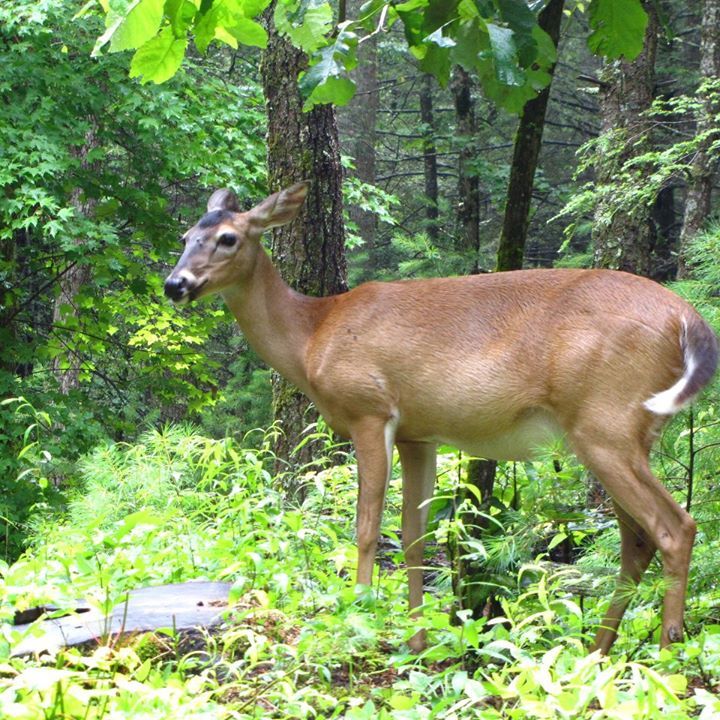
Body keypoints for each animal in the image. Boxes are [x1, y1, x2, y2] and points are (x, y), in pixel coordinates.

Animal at [166, 183, 716, 656]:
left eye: (228, 237)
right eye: (185, 237)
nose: (176, 284)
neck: (312, 336)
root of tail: (688, 319)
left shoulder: (370, 409)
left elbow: (367, 527)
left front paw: (357, 622)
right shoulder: (419, 433)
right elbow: (415, 535)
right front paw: (417, 640)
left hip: (606, 422)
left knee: (675, 527)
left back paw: (667, 649)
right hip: (622, 432)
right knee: (637, 539)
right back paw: (599, 651)